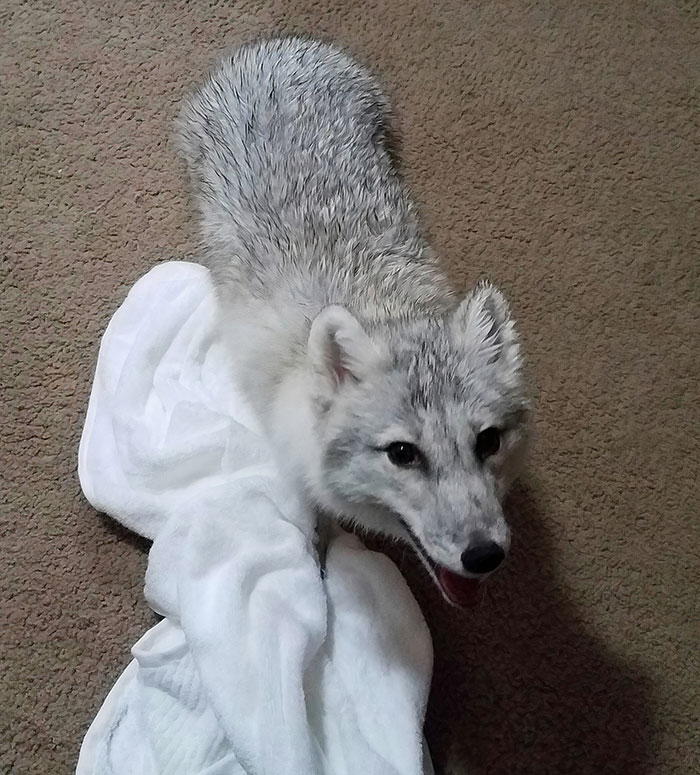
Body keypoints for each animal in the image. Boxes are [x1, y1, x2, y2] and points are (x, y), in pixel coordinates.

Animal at [177, 37, 529, 606]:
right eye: (402, 454)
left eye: (488, 441)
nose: (484, 556)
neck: (380, 305)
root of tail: (282, 44)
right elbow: (311, 520)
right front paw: (316, 564)